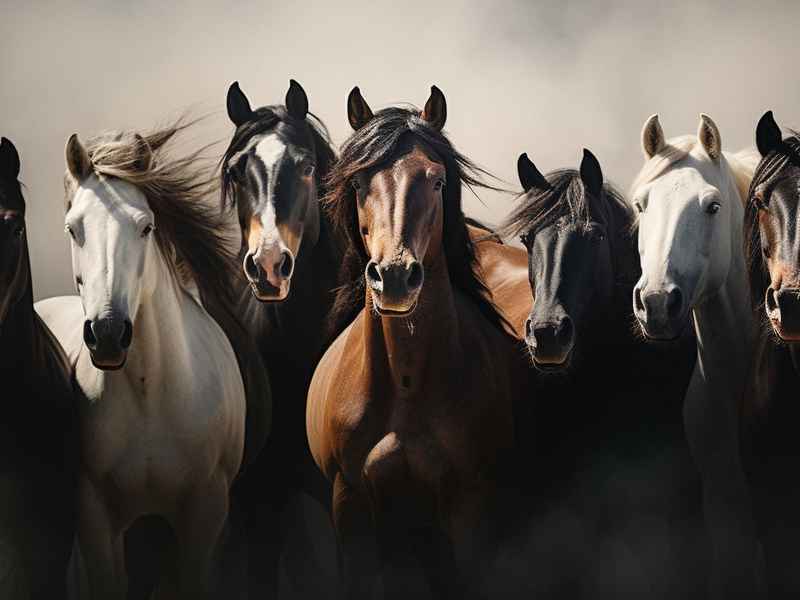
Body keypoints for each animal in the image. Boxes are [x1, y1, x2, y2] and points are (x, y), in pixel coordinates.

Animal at [35, 123, 270, 599]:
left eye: (146, 227)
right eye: (73, 228)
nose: (108, 334)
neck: (151, 398)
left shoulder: (204, 515)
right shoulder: (95, 518)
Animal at [306, 85, 531, 599]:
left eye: (437, 181)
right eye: (357, 183)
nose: (393, 277)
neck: (405, 388)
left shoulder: (469, 509)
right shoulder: (350, 506)